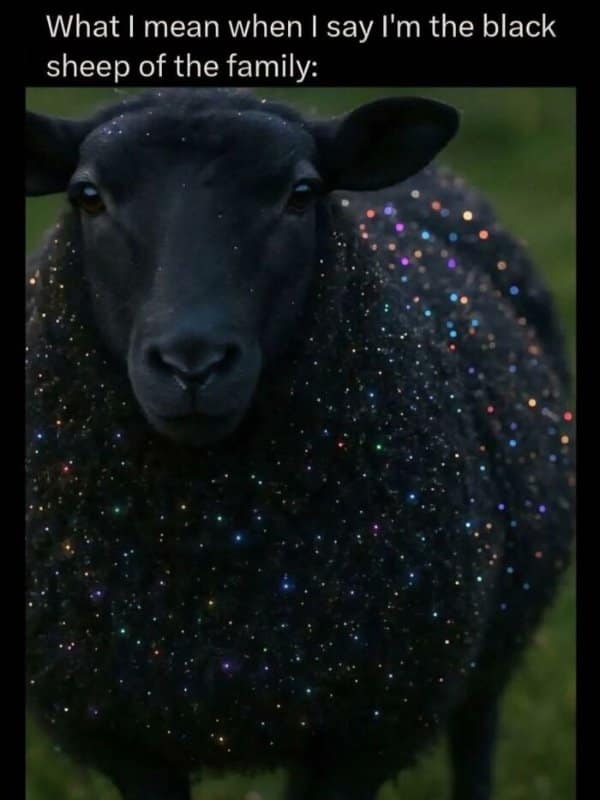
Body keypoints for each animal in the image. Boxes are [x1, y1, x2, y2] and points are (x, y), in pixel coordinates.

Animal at [26, 88, 574, 800]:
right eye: (87, 196)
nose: (193, 361)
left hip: (494, 636)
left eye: (302, 194)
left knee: (476, 736)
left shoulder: (368, 724)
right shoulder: (120, 728)